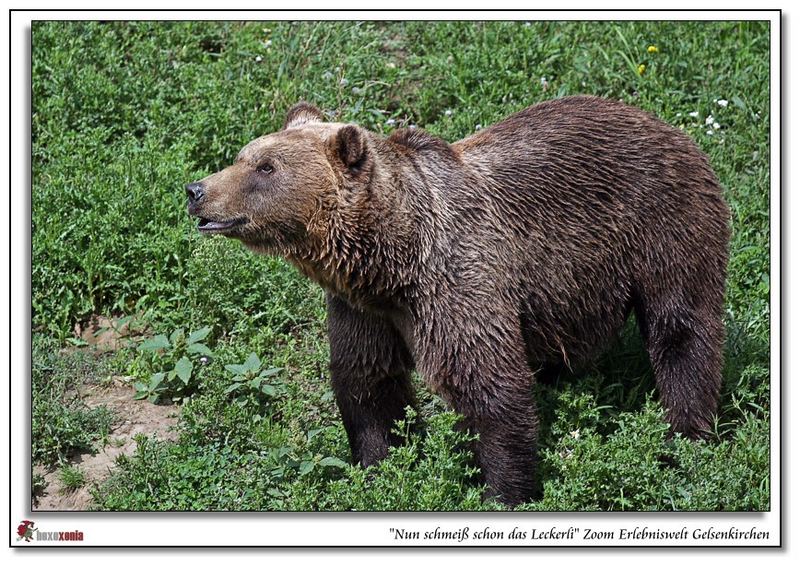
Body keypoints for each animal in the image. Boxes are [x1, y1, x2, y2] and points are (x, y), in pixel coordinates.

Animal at [188, 95, 732, 508]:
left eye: (265, 166)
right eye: (244, 154)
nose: (197, 189)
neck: (392, 257)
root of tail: (670, 125)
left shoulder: (456, 280)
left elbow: (489, 384)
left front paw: (503, 492)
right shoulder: (363, 308)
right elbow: (368, 381)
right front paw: (379, 468)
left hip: (663, 219)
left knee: (681, 328)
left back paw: (683, 437)